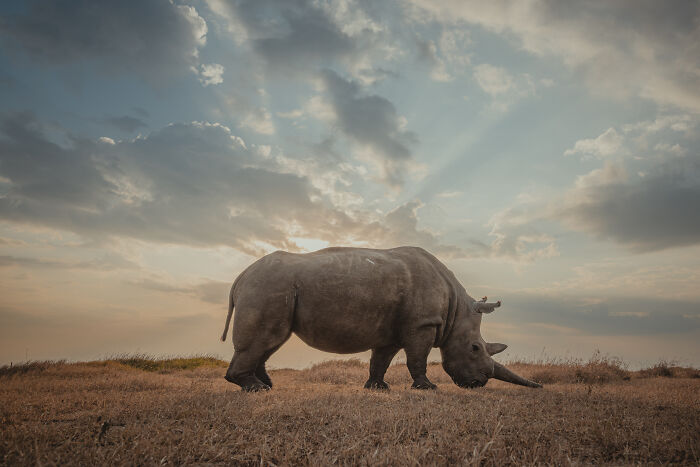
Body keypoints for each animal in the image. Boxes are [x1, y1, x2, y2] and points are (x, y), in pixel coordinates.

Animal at [221, 246, 542, 391]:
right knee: (267, 339)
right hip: (268, 286)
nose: (477, 384)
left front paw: (377, 388)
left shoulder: (393, 331)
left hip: (270, 286)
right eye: (475, 348)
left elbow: (382, 360)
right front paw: (428, 388)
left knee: (271, 341)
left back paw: (267, 386)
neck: (455, 311)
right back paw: (256, 389)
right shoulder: (423, 323)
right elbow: (417, 358)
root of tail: (241, 277)